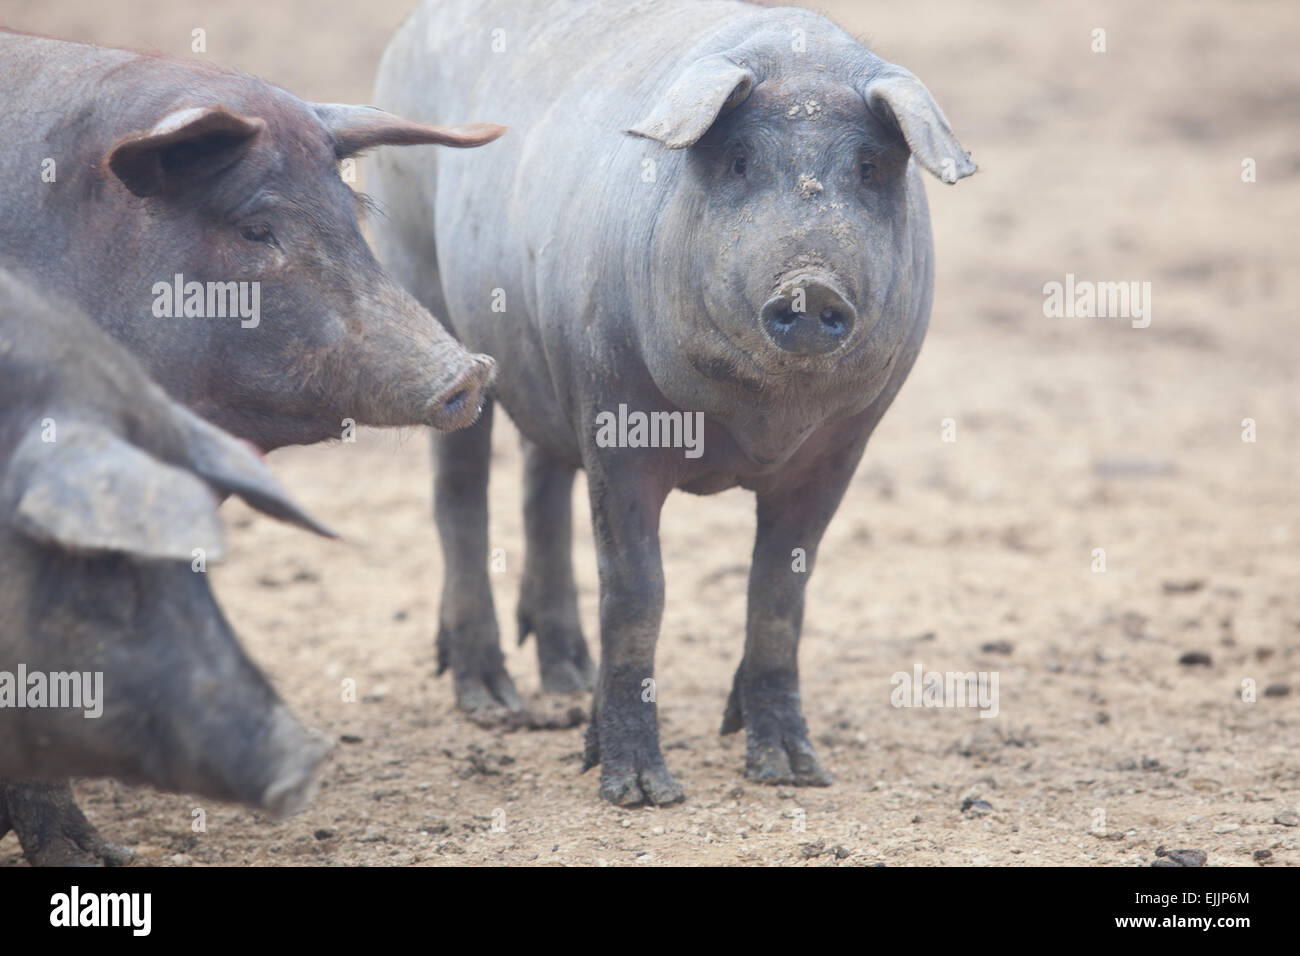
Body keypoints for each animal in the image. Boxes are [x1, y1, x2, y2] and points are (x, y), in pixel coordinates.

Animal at [371, 1, 972, 806]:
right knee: (459, 491)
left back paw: (568, 682)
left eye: (870, 167)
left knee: (541, 481)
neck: (758, 423)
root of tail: (410, 29)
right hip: (428, 291)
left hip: (548, 363)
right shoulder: (615, 413)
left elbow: (779, 593)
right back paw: (493, 701)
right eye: (741, 160)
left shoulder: (844, 445)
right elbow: (637, 592)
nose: (810, 283)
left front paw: (794, 772)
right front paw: (639, 793)